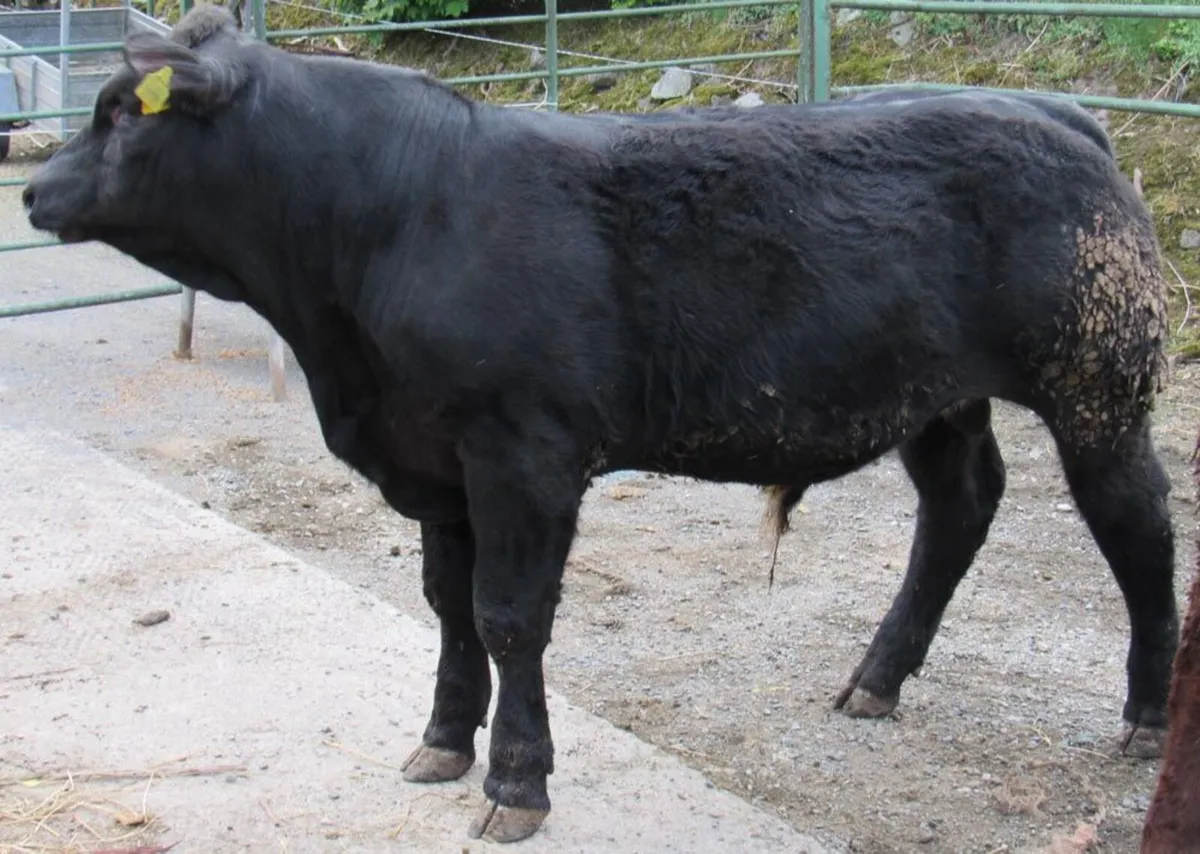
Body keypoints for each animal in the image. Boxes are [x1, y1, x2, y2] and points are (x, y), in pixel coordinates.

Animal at [22, 5, 1179, 843]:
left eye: (124, 112)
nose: (33, 190)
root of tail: (1057, 112)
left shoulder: (522, 452)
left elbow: (509, 618)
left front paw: (516, 783)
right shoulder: (432, 453)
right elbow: (448, 605)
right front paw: (441, 740)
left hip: (1098, 386)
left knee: (1141, 527)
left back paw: (1147, 711)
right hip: (937, 396)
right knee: (960, 508)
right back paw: (874, 679)